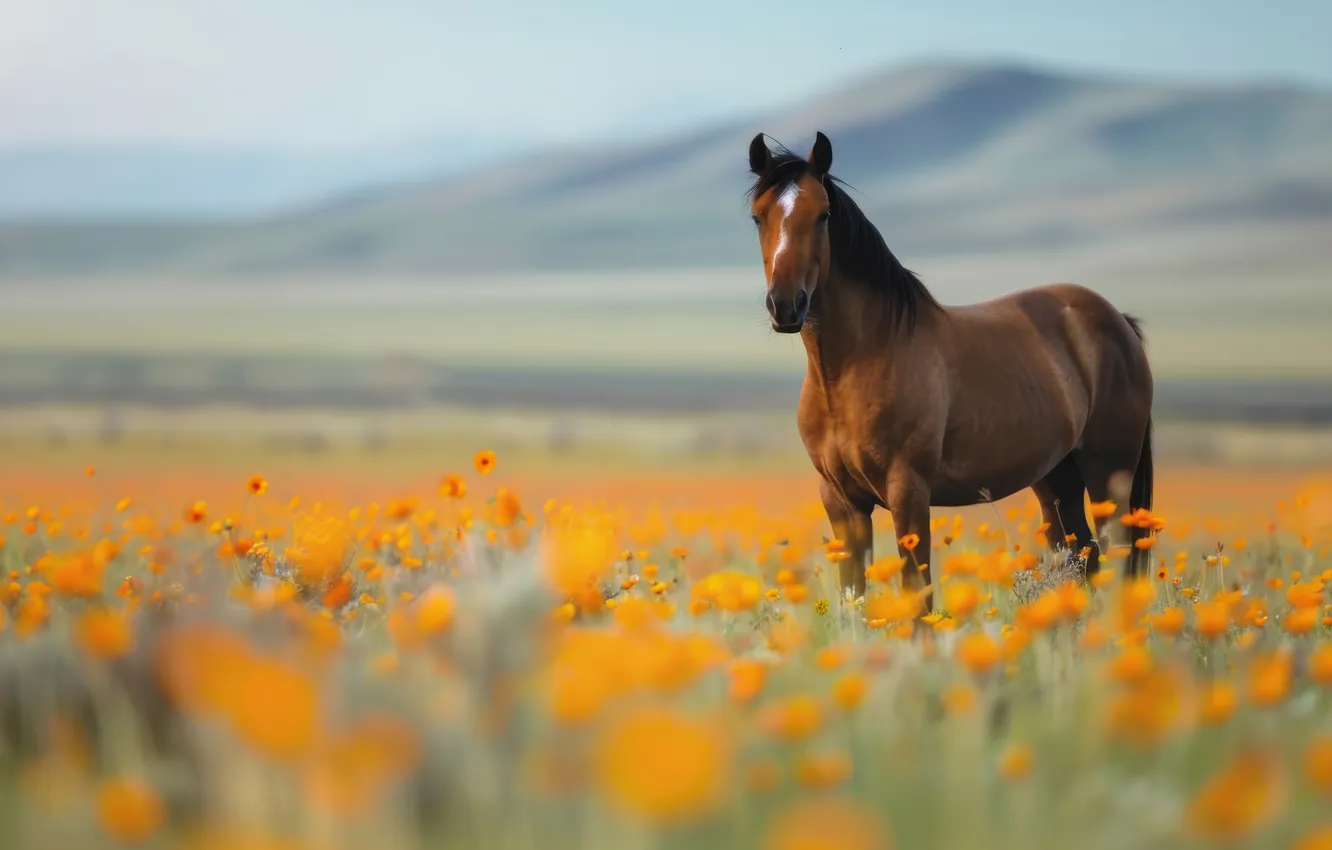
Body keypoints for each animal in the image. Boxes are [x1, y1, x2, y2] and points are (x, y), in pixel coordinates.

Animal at [746, 131, 1155, 616]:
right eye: (758, 217)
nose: (786, 306)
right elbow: (854, 598)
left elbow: (916, 594)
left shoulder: (908, 494)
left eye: (823, 215)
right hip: (1057, 480)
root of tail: (1117, 320)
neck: (854, 368)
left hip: (1110, 474)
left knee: (1116, 557)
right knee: (1080, 556)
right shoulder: (842, 502)